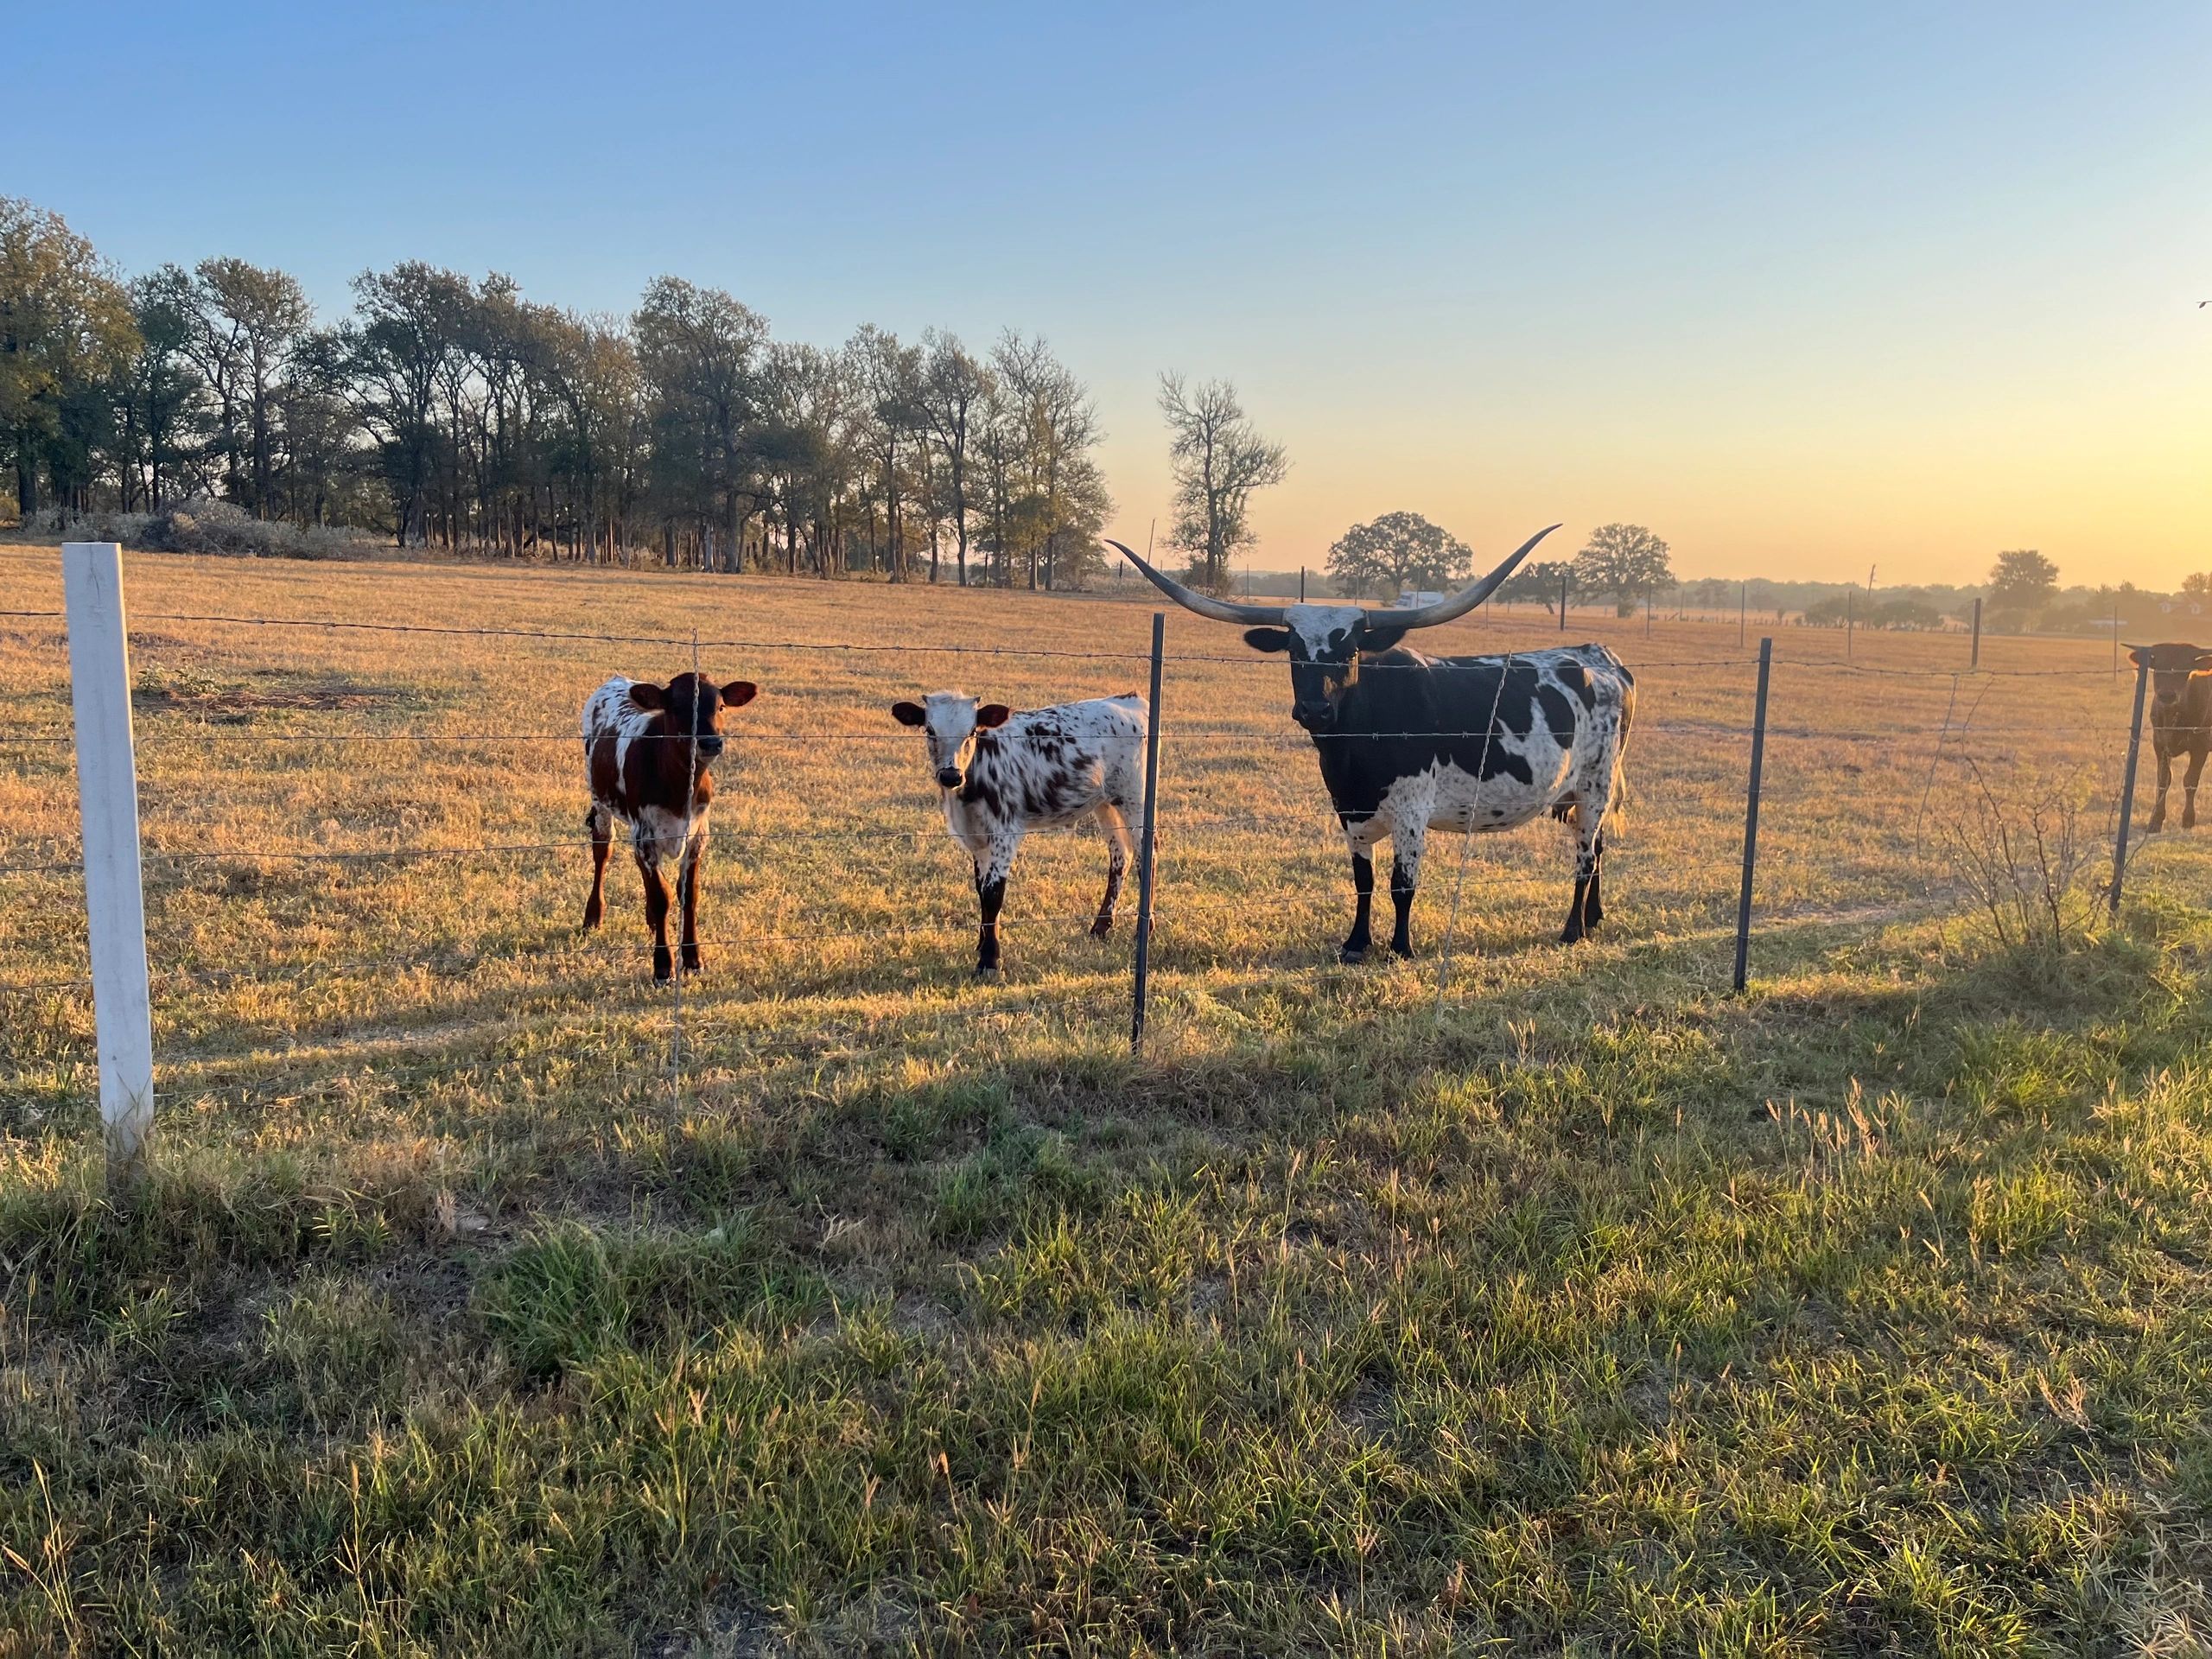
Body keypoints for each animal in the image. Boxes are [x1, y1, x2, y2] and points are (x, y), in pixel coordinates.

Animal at [581, 672, 758, 980]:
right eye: (676, 708)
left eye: (721, 707)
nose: (710, 743)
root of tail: (617, 679)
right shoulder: (645, 835)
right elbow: (661, 895)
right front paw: (663, 966)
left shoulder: (698, 834)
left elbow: (688, 893)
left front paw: (693, 958)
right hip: (600, 801)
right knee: (602, 852)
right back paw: (593, 915)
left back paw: (651, 921)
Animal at [890, 690, 1147, 976]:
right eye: (930, 730)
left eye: (972, 731)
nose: (950, 775)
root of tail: (1128, 699)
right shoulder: (978, 839)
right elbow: (981, 890)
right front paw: (982, 944)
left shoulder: (1005, 833)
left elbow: (993, 893)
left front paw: (989, 960)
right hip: (1105, 804)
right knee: (1120, 858)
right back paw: (1100, 927)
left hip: (1134, 798)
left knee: (1147, 855)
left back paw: (1144, 929)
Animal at [1110, 528, 1636, 961]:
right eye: (1294, 650)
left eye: (1350, 650)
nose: (1314, 710)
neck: (1355, 744)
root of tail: (1601, 656)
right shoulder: (1349, 809)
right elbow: (1363, 883)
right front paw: (1356, 943)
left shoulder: (1411, 810)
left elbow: (1402, 884)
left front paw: (1400, 948)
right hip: (1588, 794)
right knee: (1599, 847)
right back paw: (1594, 919)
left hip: (1596, 786)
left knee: (1586, 856)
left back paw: (1572, 930)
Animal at [2126, 643, 2212, 832]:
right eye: (2158, 666)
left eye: (2185, 669)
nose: (2167, 695)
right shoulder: (2159, 744)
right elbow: (2163, 779)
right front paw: (2155, 820)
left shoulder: (2201, 746)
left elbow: (2190, 780)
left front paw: (2188, 820)